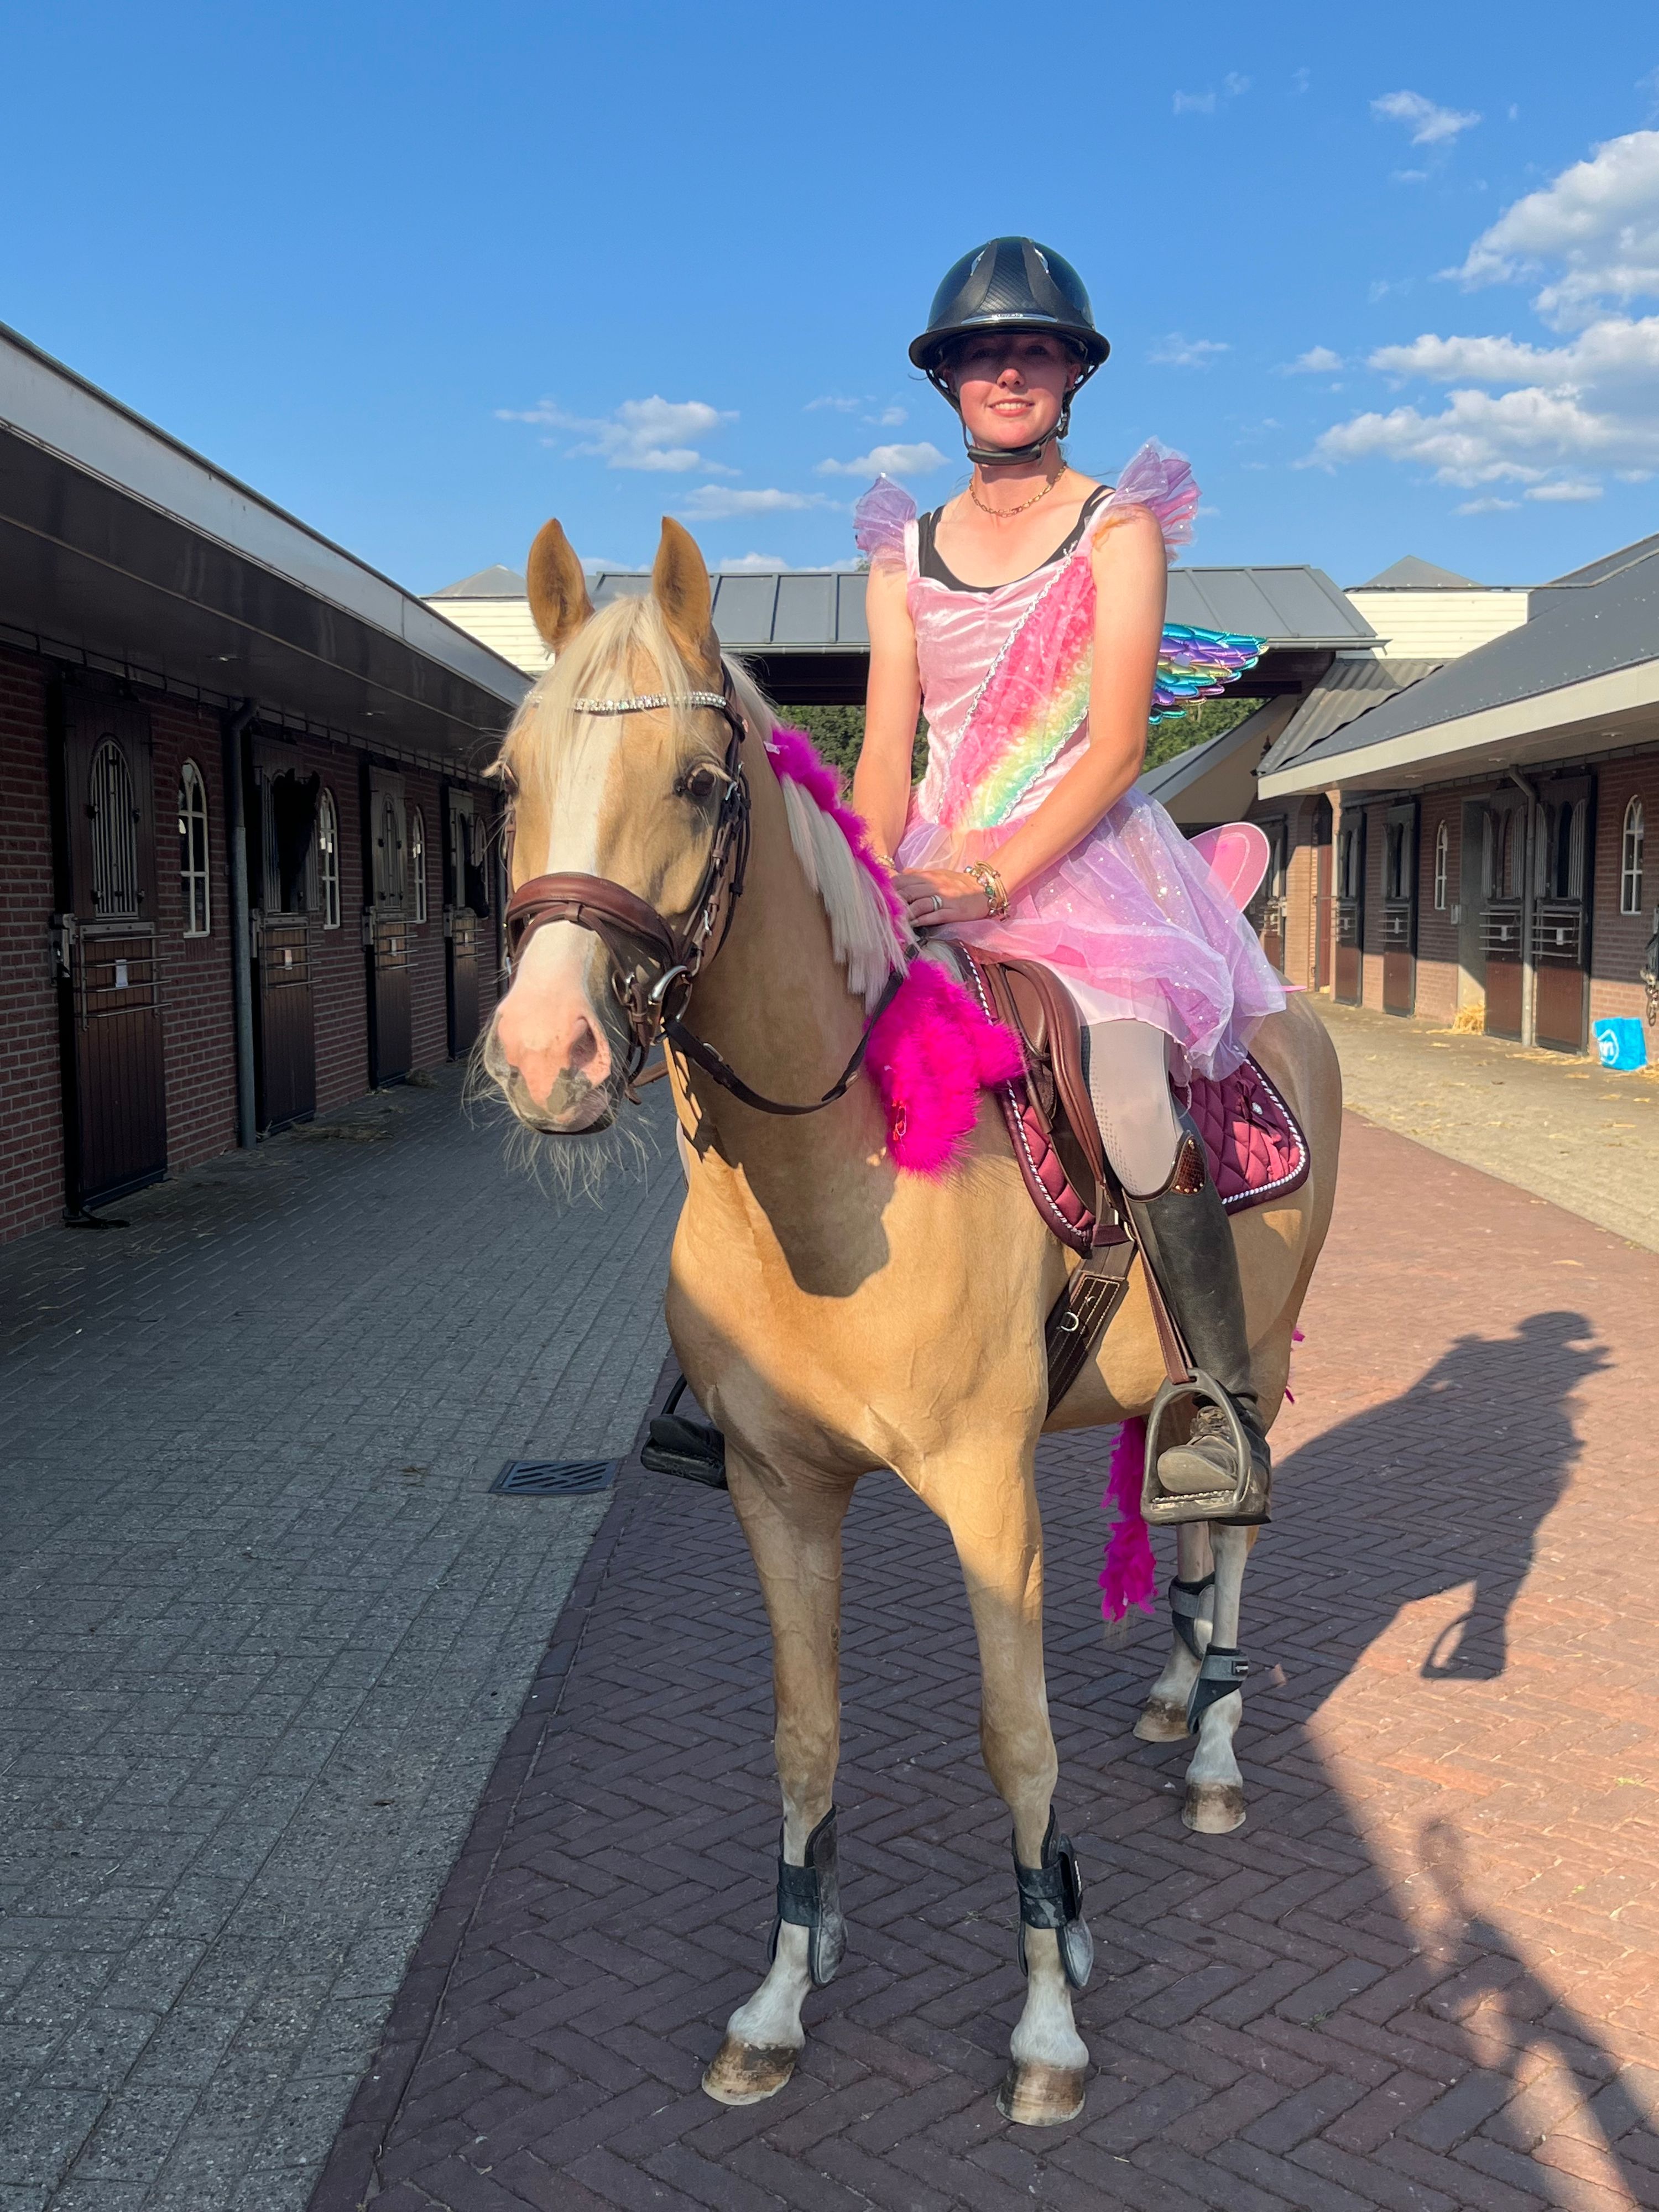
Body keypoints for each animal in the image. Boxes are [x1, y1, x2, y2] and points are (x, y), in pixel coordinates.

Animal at [483, 514, 1343, 2127]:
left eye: (699, 785)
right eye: (507, 781)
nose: (542, 1052)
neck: (835, 1175)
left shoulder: (987, 1495)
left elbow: (1018, 1743)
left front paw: (1049, 2019)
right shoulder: (778, 1490)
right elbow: (804, 1732)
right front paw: (779, 1992)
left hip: (1257, 1364)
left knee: (1241, 1525)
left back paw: (1211, 1747)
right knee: (1186, 1511)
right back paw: (1173, 1686)